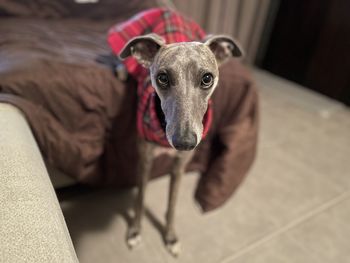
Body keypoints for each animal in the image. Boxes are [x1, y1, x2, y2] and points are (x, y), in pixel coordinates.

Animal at [108, 8, 242, 258]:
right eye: (162, 77)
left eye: (207, 78)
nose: (184, 143)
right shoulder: (145, 160)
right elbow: (140, 198)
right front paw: (135, 232)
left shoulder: (180, 166)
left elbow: (172, 204)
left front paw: (170, 237)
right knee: (120, 59)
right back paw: (121, 69)